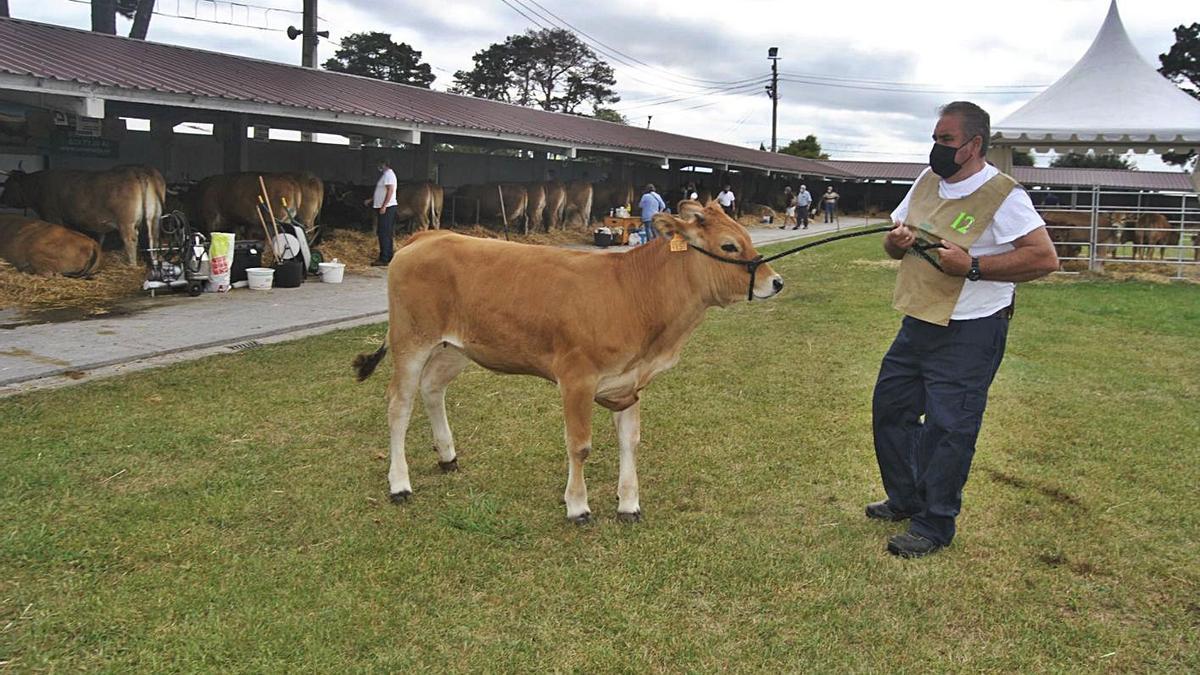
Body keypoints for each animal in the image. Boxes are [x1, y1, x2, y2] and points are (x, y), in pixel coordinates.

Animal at [0, 164, 163, 264]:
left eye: (7, 184)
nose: (2, 199)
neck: (37, 185)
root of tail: (137, 170)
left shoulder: (52, 215)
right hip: (154, 217)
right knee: (153, 238)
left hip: (125, 222)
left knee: (130, 240)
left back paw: (132, 265)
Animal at [352, 198, 787, 521]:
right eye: (729, 246)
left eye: (748, 238)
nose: (776, 282)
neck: (635, 292)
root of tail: (428, 236)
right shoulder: (577, 378)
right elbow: (580, 445)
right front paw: (578, 506)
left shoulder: (629, 382)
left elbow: (630, 441)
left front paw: (629, 504)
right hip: (411, 340)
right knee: (399, 405)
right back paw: (400, 484)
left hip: (453, 347)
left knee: (432, 390)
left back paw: (447, 456)